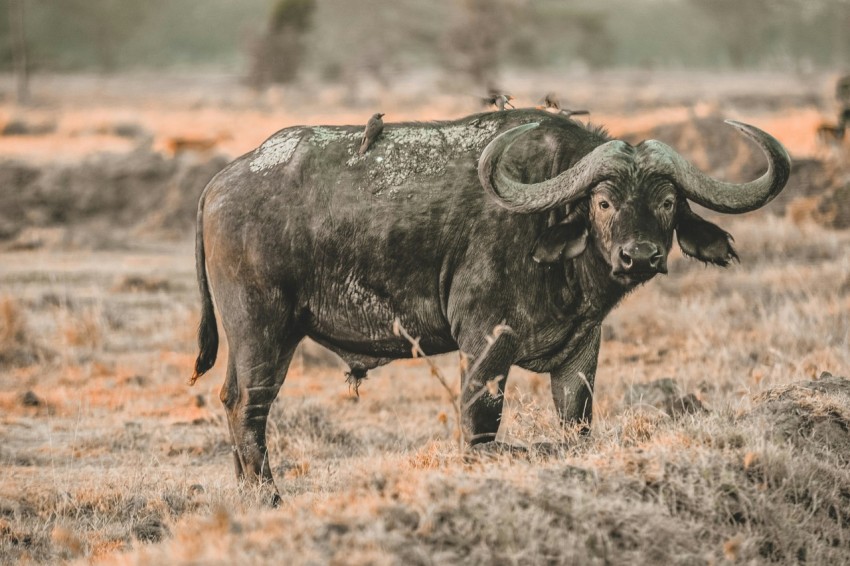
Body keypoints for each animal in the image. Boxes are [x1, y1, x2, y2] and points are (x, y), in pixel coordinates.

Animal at [191, 109, 790, 503]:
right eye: (603, 202)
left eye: (667, 203)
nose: (639, 255)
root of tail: (221, 182)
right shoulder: (485, 342)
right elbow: (481, 423)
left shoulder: (582, 350)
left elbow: (577, 423)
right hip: (263, 331)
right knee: (248, 407)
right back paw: (268, 497)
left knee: (229, 399)